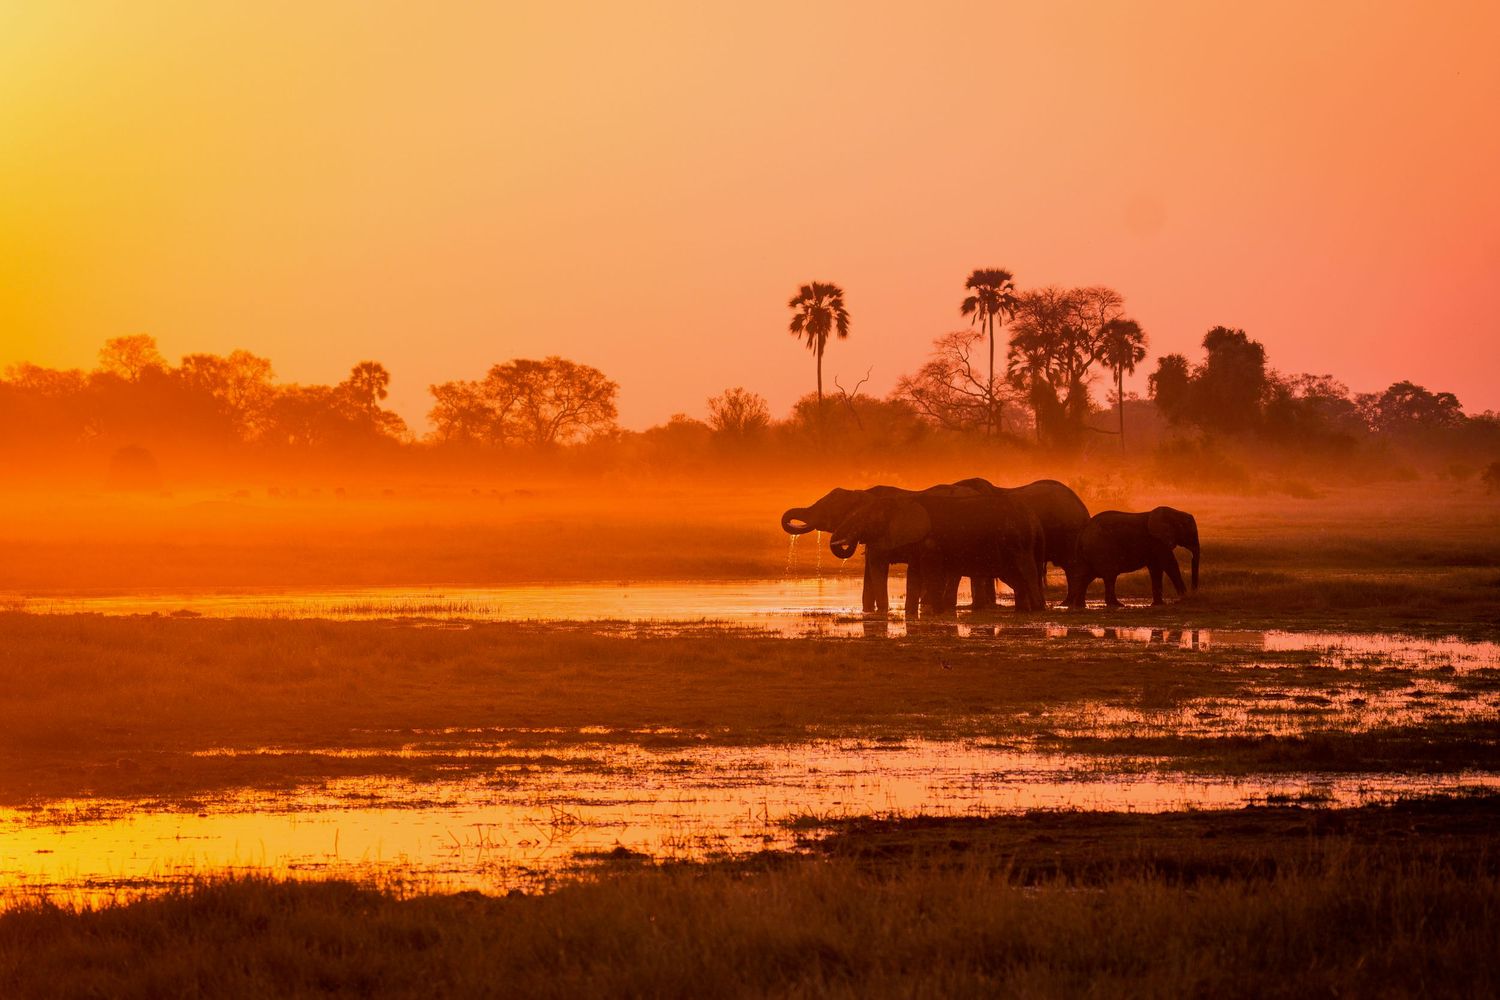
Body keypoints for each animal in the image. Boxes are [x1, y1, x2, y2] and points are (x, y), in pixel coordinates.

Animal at [781, 484, 996, 612]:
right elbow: (869, 568)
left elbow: (877, 566)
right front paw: (868, 611)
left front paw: (881, 611)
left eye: (828, 508)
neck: (861, 493)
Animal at [828, 493, 1046, 615]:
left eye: (867, 520)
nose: (882, 612)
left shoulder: (931, 543)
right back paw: (1025, 610)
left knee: (1025, 573)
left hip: (1017, 543)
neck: (903, 501)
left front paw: (934, 613)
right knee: (1017, 577)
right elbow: (914, 575)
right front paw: (910, 614)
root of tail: (1034, 519)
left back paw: (1034, 610)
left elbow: (930, 573)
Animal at [1066, 506, 1200, 608]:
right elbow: (1169, 563)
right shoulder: (1159, 541)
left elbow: (1156, 568)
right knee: (1109, 576)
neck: (1175, 513)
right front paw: (1184, 597)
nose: (1194, 592)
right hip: (1101, 548)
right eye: (1192, 533)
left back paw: (1080, 606)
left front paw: (1158, 604)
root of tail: (1083, 531)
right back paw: (1117, 605)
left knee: (1087, 576)